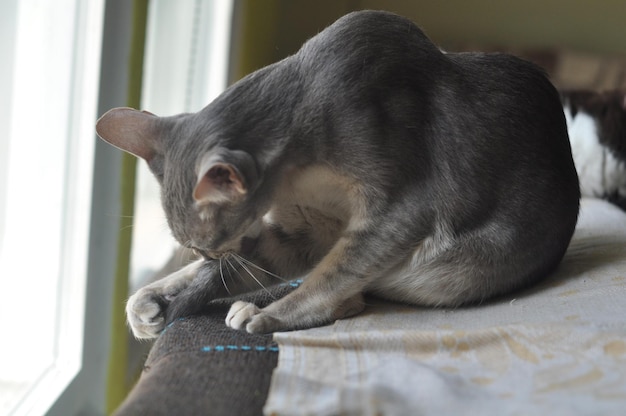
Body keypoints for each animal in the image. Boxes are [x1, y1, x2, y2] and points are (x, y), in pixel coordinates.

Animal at [95, 10, 576, 338]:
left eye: (209, 241)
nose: (208, 256)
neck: (299, 180)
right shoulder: (305, 232)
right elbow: (284, 268)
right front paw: (171, 292)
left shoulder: (400, 212)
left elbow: (331, 277)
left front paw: (271, 314)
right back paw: (152, 298)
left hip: (461, 269)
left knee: (356, 292)